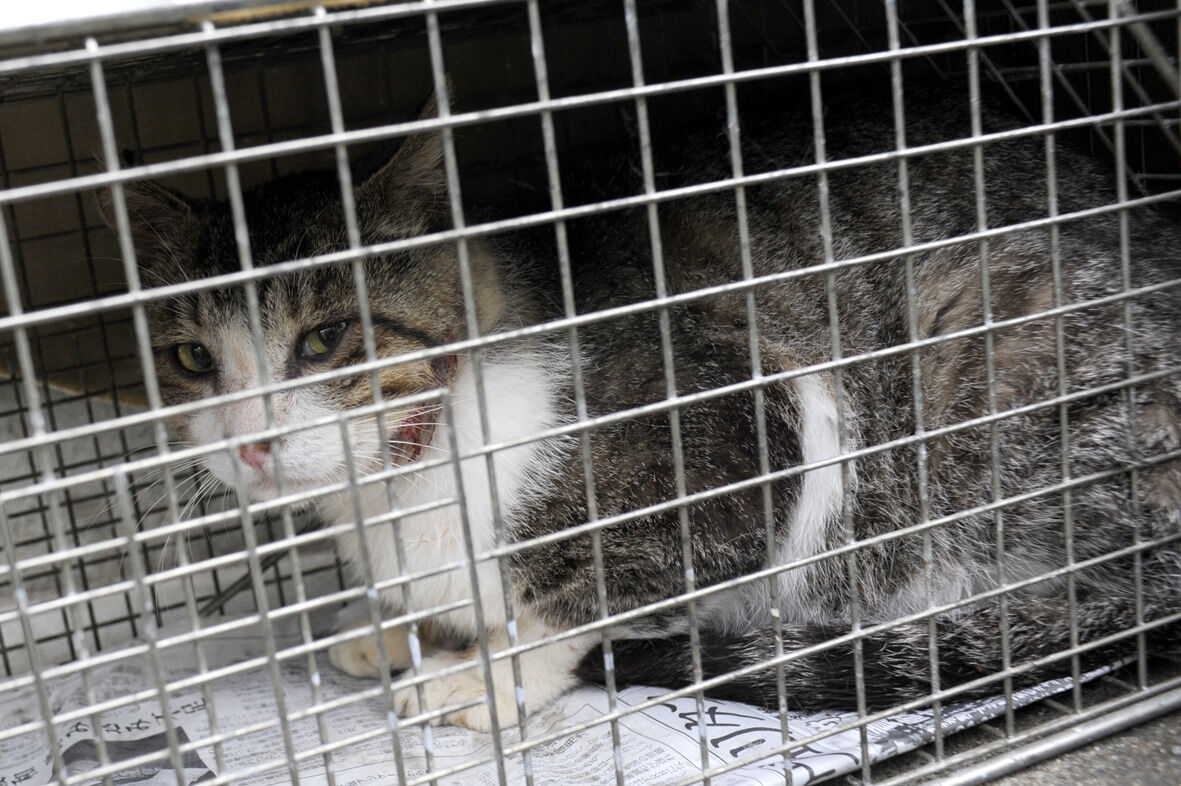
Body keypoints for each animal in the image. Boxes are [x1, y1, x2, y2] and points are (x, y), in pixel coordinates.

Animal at [101, 86, 1181, 732]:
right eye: (191, 358)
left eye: (325, 340)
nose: (252, 443)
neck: (404, 479)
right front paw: (406, 629)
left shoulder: (754, 427)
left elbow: (586, 592)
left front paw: (487, 675)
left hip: (995, 362)